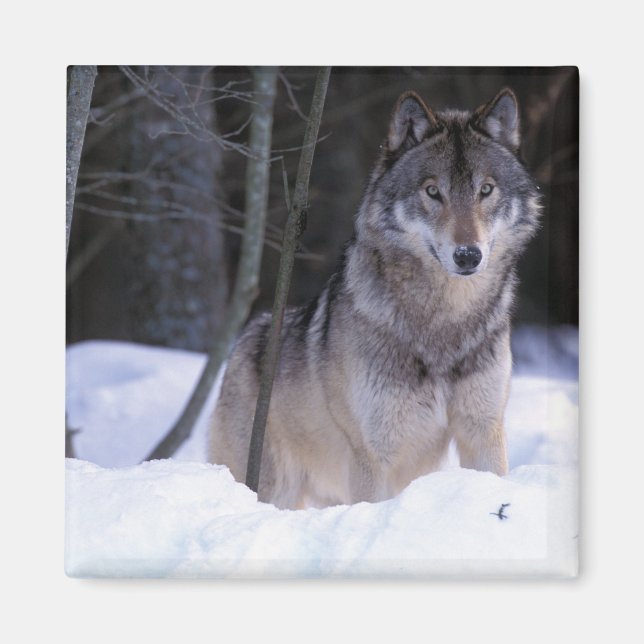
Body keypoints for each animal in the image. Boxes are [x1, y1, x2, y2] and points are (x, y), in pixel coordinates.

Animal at [208, 88, 540, 510]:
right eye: (433, 191)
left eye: (486, 190)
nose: (468, 255)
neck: (445, 323)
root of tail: (245, 338)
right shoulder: (373, 454)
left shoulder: (483, 432)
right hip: (275, 488)